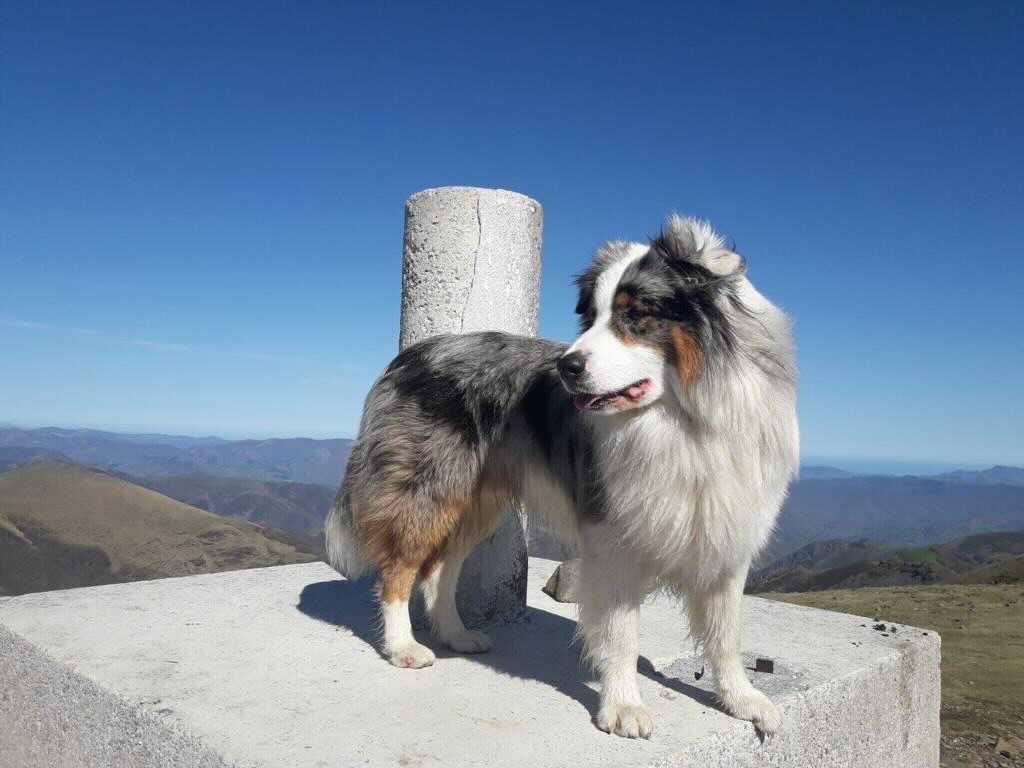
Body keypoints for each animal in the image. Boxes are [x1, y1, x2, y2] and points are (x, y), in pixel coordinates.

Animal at [327, 215, 798, 741]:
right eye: (590, 317)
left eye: (635, 315)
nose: (566, 366)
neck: (685, 421)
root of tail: (405, 357)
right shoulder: (612, 535)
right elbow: (621, 633)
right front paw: (623, 705)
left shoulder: (728, 531)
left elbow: (726, 635)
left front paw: (742, 699)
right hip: (429, 490)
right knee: (399, 569)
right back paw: (402, 648)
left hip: (477, 502)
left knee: (437, 571)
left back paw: (455, 634)